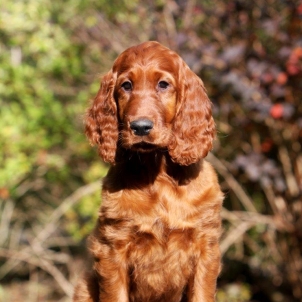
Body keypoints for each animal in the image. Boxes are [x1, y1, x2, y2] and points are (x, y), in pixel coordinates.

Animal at [74, 40, 223, 302]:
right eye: (126, 85)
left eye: (163, 84)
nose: (141, 127)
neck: (157, 173)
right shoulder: (112, 248)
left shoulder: (206, 246)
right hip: (84, 285)